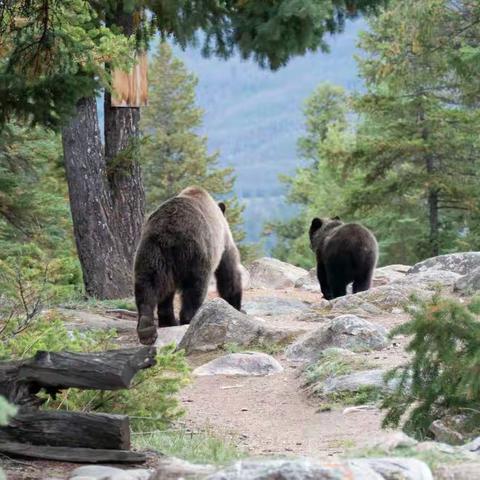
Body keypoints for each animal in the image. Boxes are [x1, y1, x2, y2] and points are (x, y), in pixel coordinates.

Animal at [134, 186, 242, 344]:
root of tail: (168, 233)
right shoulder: (223, 241)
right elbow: (229, 271)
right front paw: (235, 305)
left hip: (151, 252)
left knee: (148, 286)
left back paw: (150, 328)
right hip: (195, 254)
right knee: (195, 288)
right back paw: (189, 319)